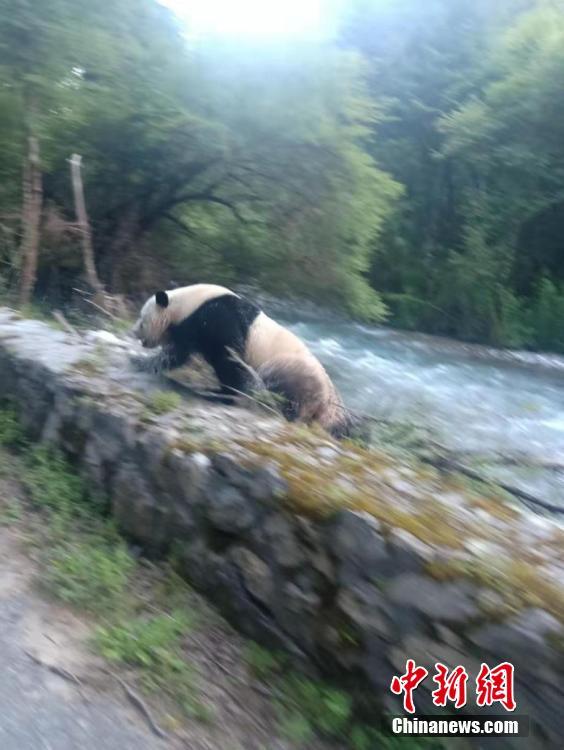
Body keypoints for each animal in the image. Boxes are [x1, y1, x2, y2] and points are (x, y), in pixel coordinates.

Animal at [132, 288, 352, 440]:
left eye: (142, 319)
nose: (134, 332)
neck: (187, 303)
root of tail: (328, 400)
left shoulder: (216, 319)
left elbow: (228, 359)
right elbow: (181, 354)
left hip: (295, 375)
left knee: (288, 399)